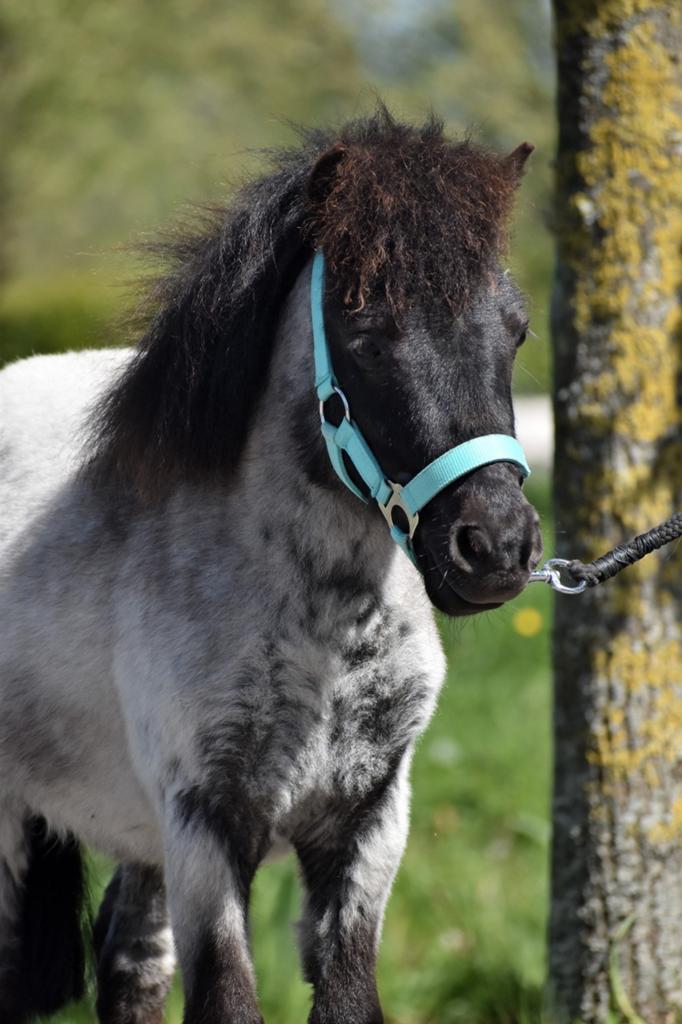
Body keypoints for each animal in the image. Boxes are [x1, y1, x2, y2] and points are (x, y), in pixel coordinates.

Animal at [0, 109, 542, 1024]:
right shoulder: (206, 830)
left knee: (131, 965)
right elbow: (227, 1000)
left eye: (516, 327)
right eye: (367, 335)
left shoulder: (366, 827)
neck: (320, 629)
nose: (497, 548)